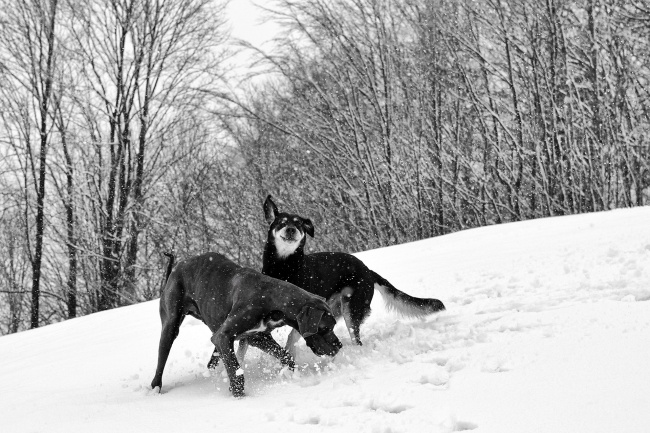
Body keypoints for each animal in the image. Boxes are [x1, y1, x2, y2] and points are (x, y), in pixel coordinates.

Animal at [151, 251, 342, 396]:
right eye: (325, 328)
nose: (339, 345)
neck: (272, 297)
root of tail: (176, 267)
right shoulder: (223, 337)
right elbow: (236, 372)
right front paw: (239, 396)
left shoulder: (257, 337)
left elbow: (286, 356)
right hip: (170, 326)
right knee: (161, 361)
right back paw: (155, 388)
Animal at [260, 195, 442, 352]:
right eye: (281, 223)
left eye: (299, 225)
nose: (291, 229)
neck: (284, 268)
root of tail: (368, 270)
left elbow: (293, 336)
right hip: (335, 310)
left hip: (351, 308)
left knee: (356, 340)